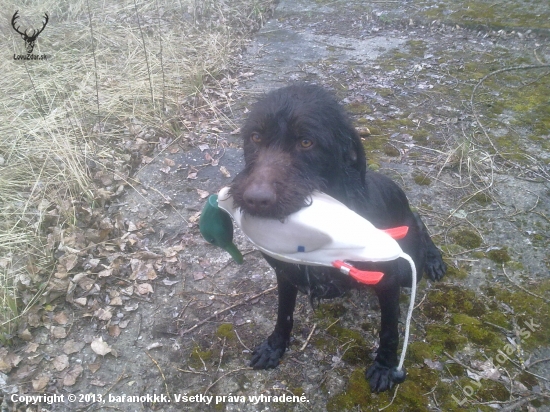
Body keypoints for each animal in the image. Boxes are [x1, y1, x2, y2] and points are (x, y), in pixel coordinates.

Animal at [230, 84, 448, 392]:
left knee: (418, 222)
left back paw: (432, 258)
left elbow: (390, 330)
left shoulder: (389, 280)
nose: (255, 200)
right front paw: (275, 346)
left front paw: (385, 366)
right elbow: (284, 314)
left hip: (408, 266)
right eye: (255, 137)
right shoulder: (285, 274)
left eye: (306, 142)